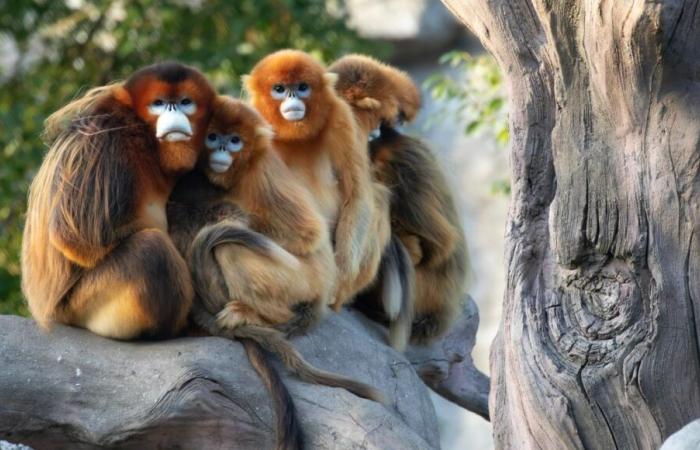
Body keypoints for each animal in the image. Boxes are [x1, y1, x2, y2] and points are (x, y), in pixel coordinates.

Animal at [21, 62, 215, 338]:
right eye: (158, 103)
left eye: (185, 102)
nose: (173, 110)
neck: (145, 140)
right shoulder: (106, 140)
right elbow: (79, 238)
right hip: (82, 305)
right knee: (151, 250)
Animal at [243, 50, 392, 310]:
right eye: (279, 89)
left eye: (302, 87)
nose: (292, 97)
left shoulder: (341, 116)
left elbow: (358, 194)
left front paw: (339, 279)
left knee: (378, 198)